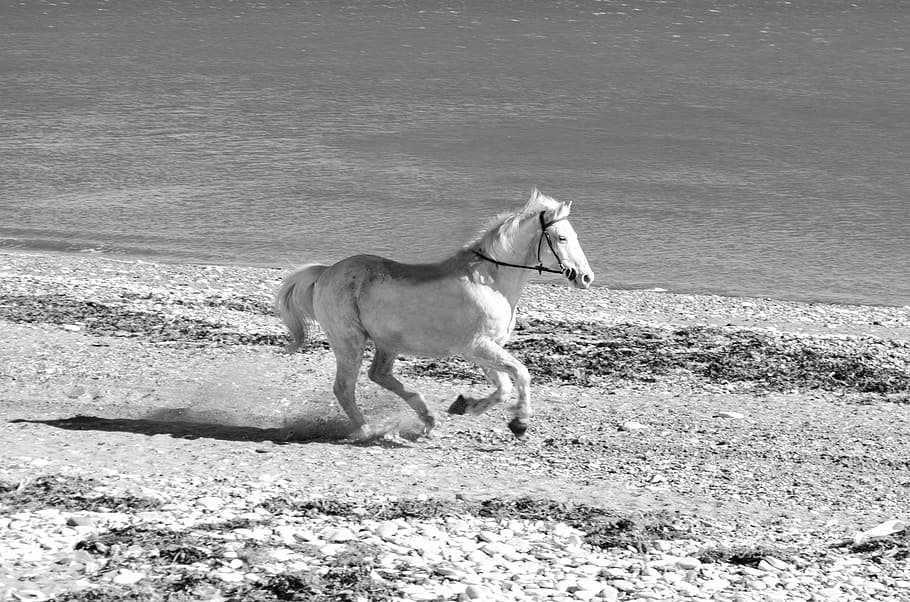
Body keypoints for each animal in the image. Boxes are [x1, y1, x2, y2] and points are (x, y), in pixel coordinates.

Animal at [275, 188, 594, 440]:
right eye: (562, 238)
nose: (586, 277)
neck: (491, 283)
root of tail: (325, 272)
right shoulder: (477, 347)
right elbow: (521, 373)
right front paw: (519, 423)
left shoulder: (484, 350)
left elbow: (503, 386)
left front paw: (465, 405)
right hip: (349, 341)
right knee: (344, 387)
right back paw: (368, 431)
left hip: (386, 344)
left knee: (379, 375)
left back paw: (428, 417)